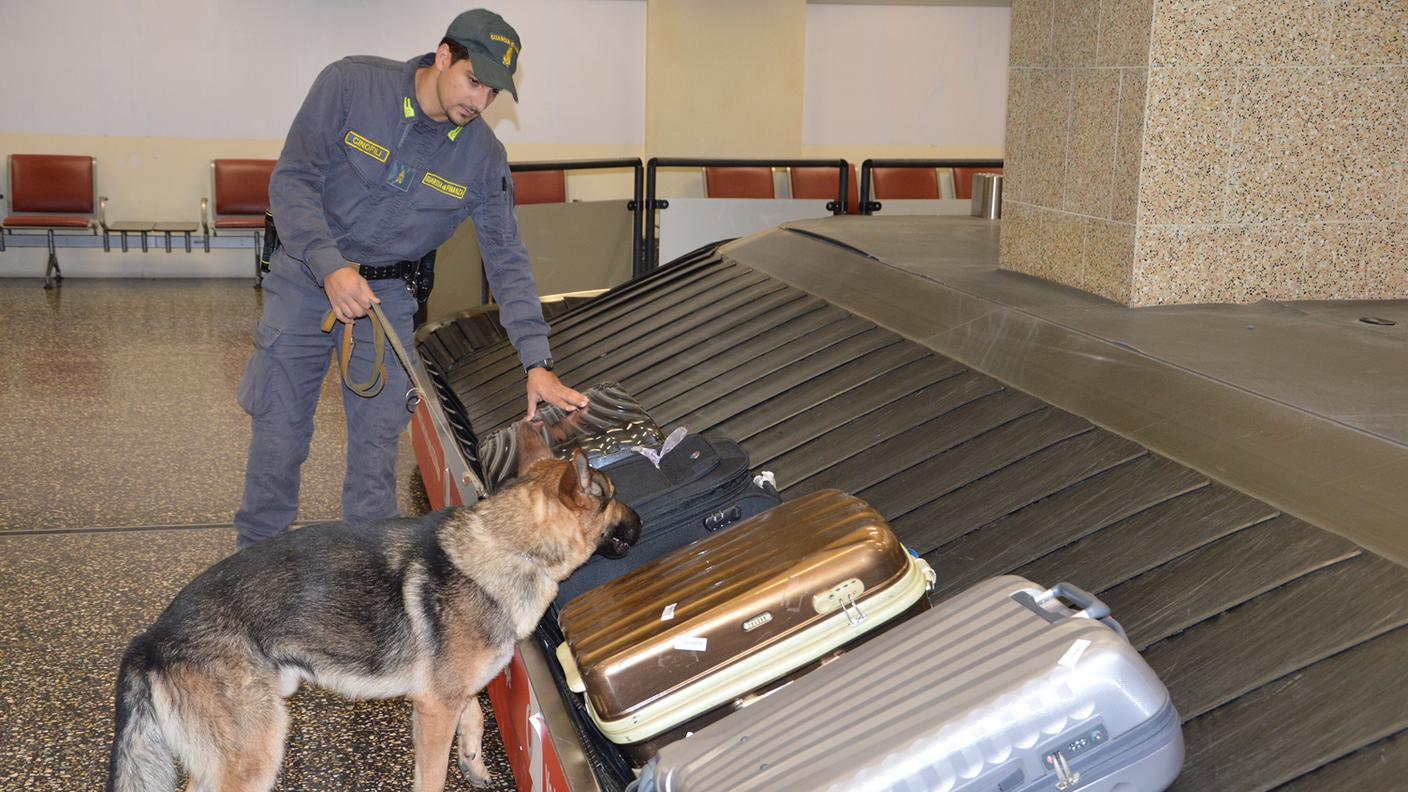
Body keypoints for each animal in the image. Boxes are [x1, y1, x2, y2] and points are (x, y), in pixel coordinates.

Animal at [107, 428, 644, 783]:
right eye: (615, 495)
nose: (640, 523)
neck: (509, 545)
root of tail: (149, 639)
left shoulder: (449, 694)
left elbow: (474, 714)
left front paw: (473, 762)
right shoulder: (433, 709)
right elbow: (432, 775)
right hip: (255, 752)